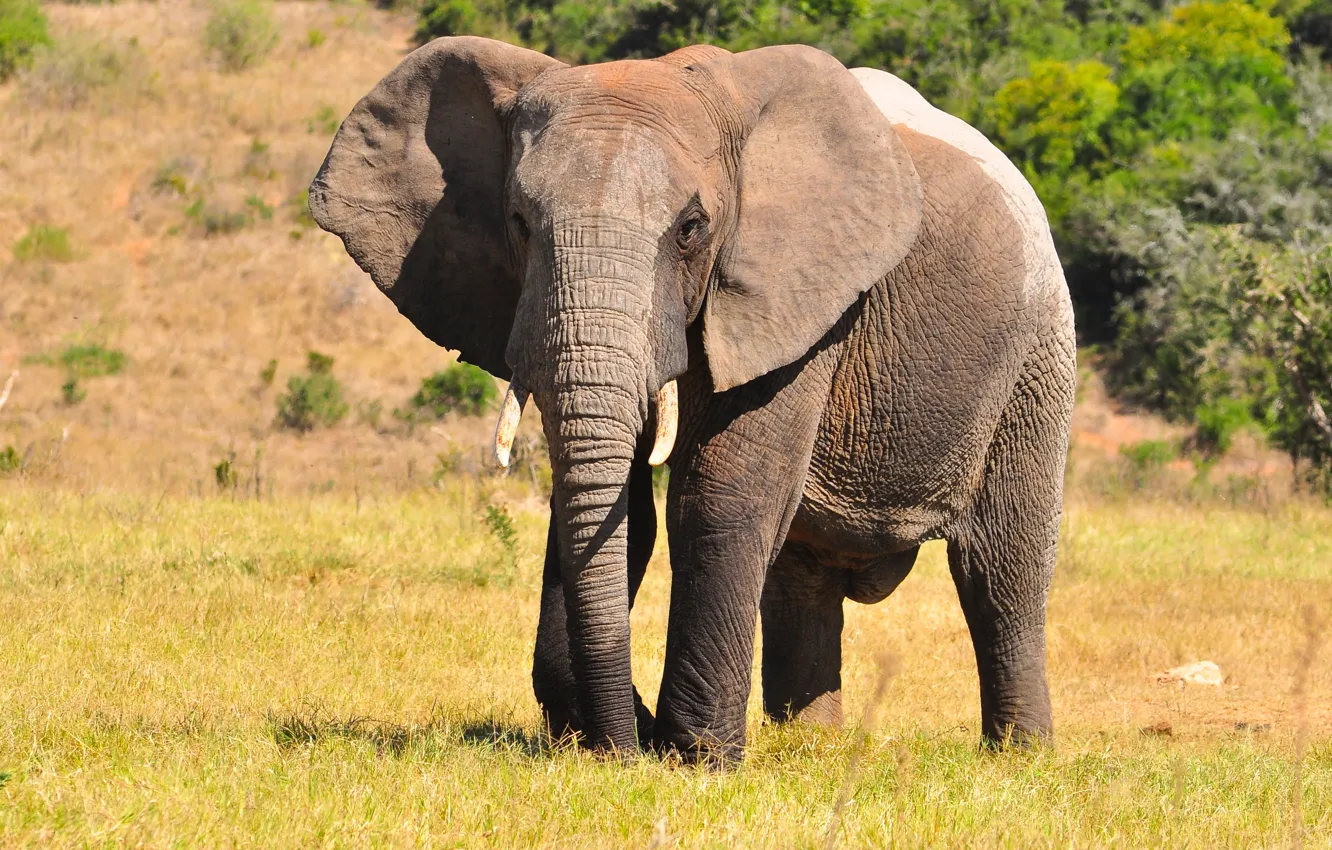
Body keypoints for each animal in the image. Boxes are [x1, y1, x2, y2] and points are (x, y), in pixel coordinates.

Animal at [309, 36, 1076, 763]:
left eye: (690, 229)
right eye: (520, 223)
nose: (624, 747)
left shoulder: (798, 295)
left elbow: (720, 494)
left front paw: (697, 759)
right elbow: (620, 508)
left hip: (1039, 351)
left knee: (999, 562)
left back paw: (1019, 756)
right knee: (803, 577)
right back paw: (810, 747)